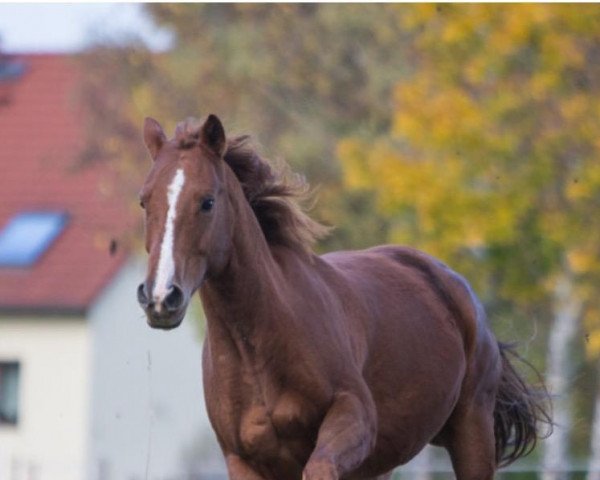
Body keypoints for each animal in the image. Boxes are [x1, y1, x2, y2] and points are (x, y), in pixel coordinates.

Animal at [138, 114, 552, 478]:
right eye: (144, 201)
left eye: (207, 201)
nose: (161, 296)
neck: (258, 348)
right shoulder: (244, 461)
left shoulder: (354, 417)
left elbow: (320, 467)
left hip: (471, 430)